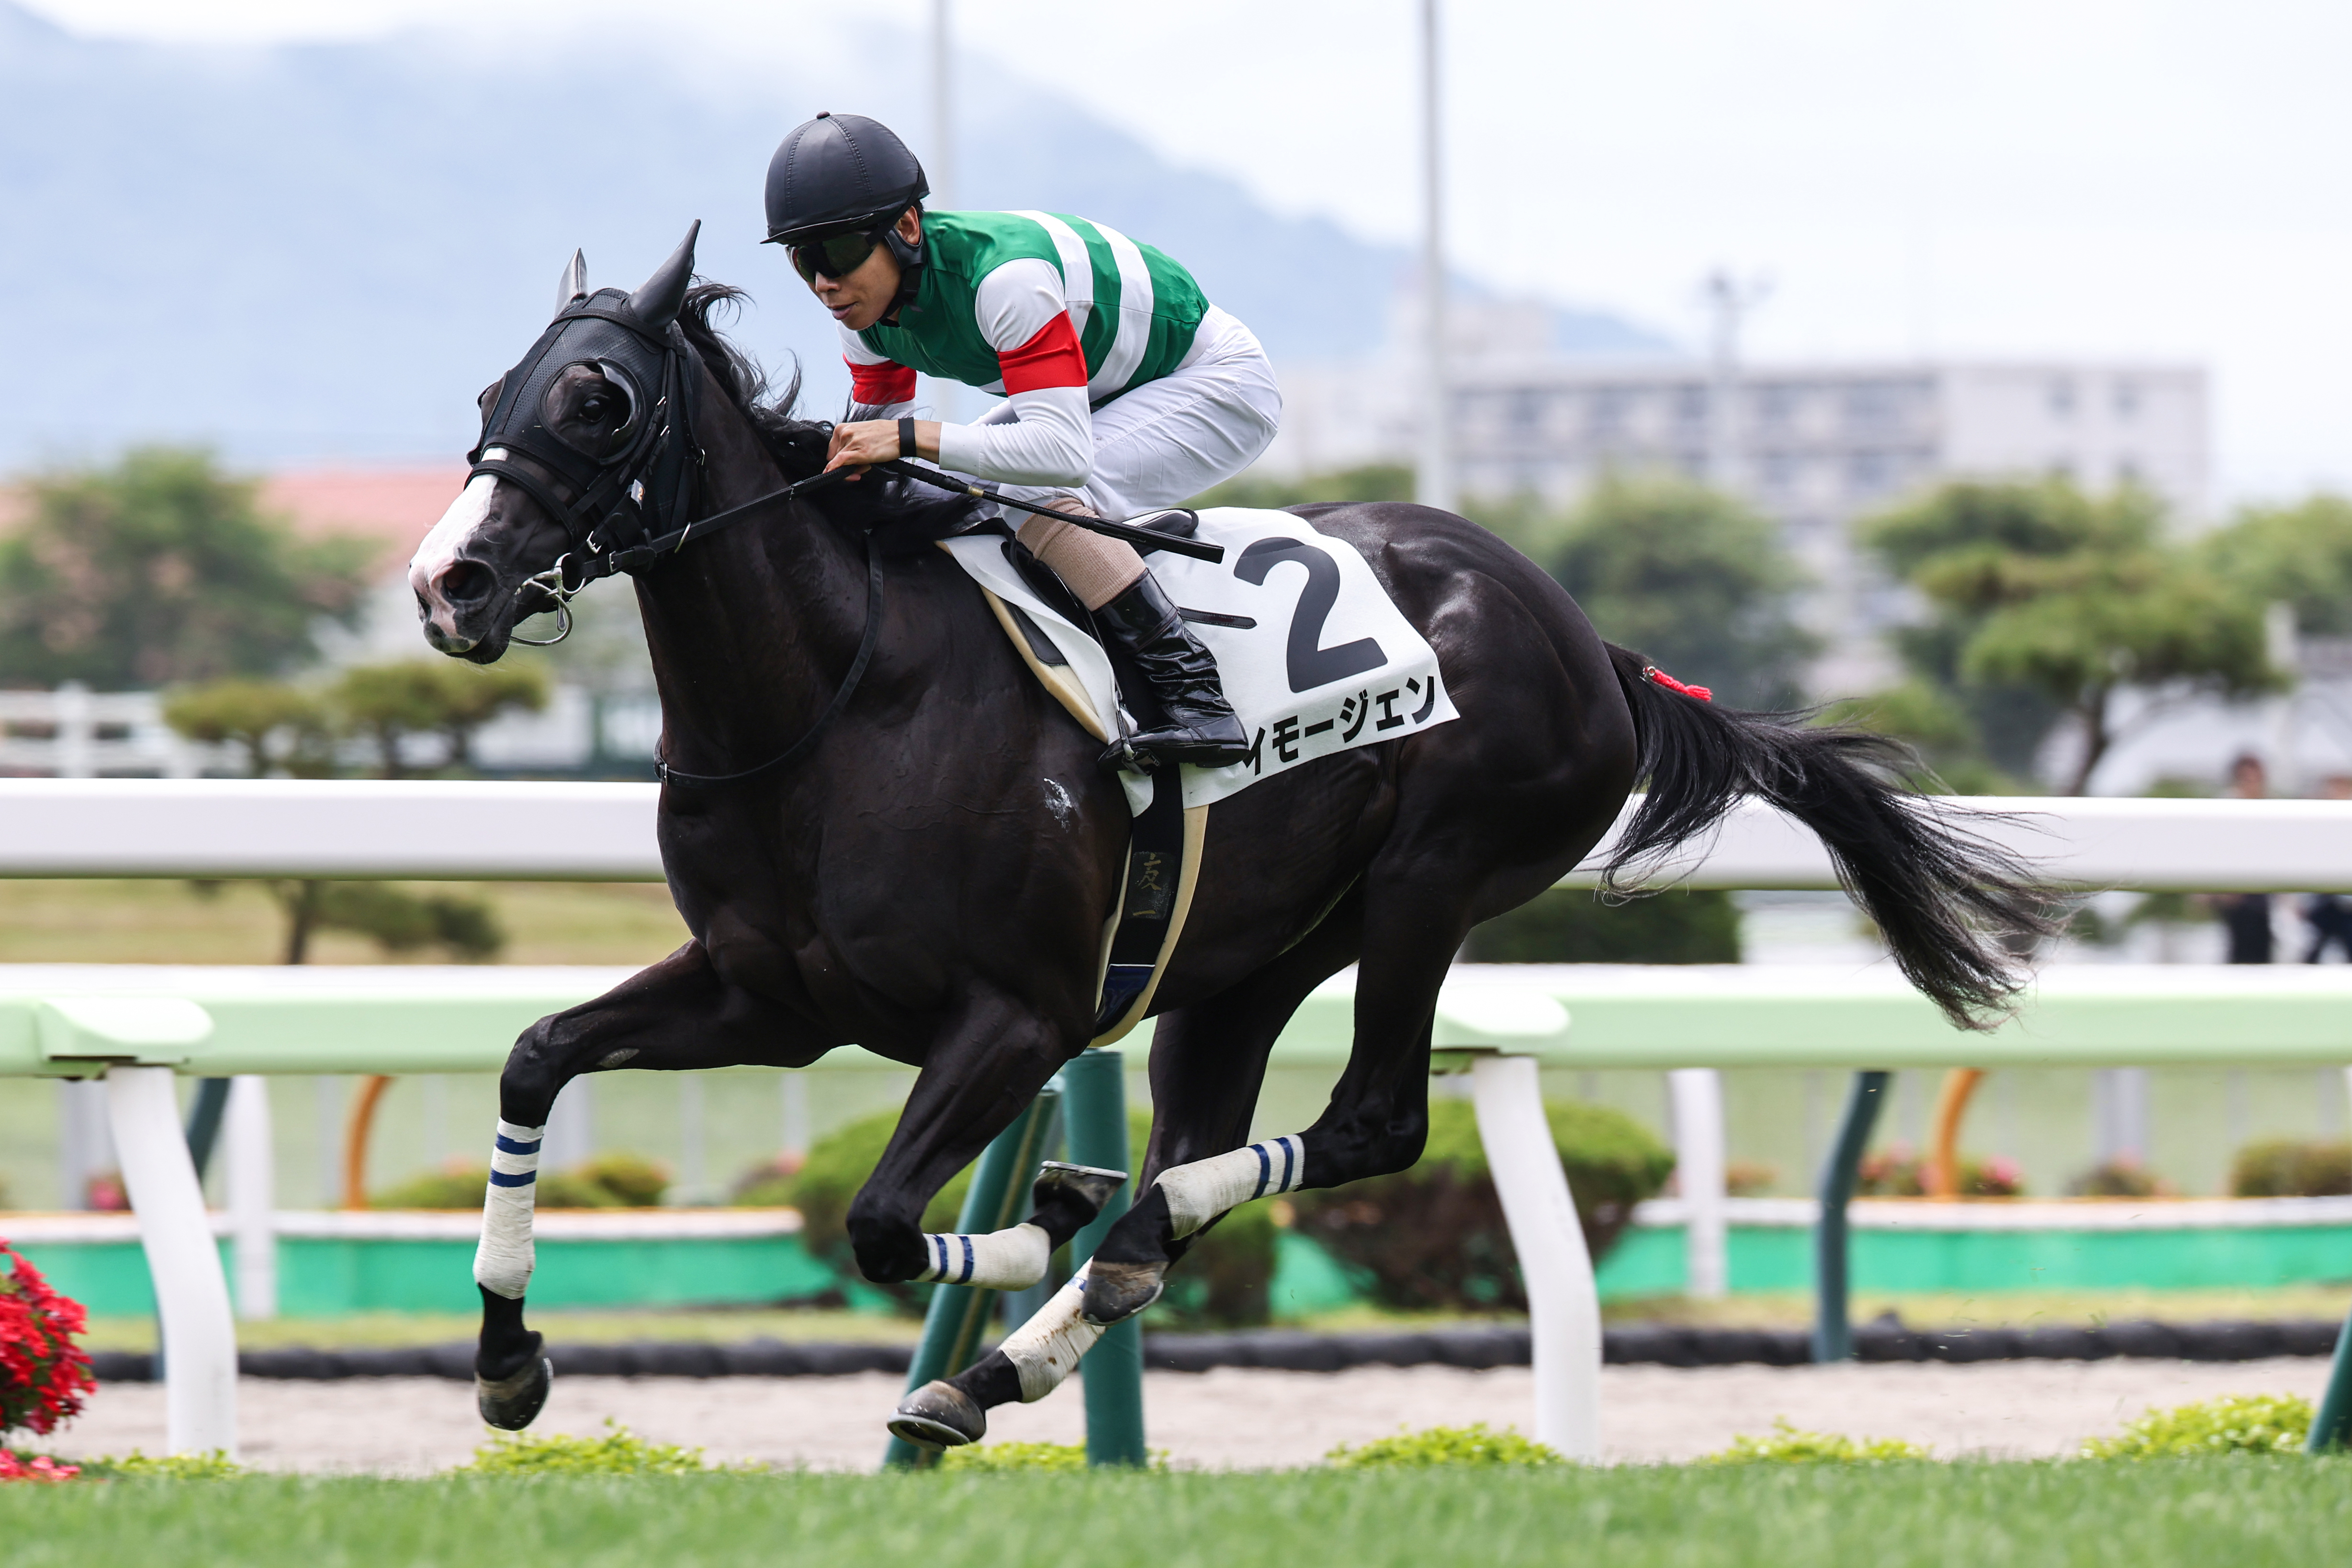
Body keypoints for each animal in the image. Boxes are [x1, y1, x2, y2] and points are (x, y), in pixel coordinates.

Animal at [409, 226, 2048, 1445]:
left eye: (599, 401)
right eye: (492, 393)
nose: (449, 584)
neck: (840, 694)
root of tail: (1595, 643)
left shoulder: (1013, 1011)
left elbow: (877, 1218)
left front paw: (1034, 1217)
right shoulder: (770, 996)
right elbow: (536, 1057)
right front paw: (505, 1360)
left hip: (1431, 882)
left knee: (1367, 1124)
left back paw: (1103, 1223)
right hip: (1249, 958)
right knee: (1215, 1141)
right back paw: (1008, 1348)